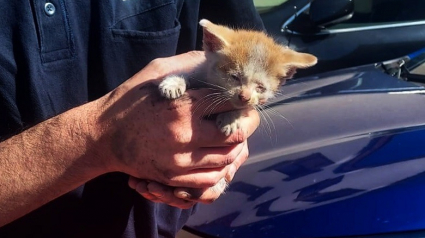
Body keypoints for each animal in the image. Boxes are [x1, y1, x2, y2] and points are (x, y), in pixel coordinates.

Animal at [158, 19, 314, 137]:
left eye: (260, 87)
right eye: (234, 77)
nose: (244, 96)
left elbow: (244, 107)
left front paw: (230, 117)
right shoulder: (202, 71)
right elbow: (190, 73)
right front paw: (174, 83)